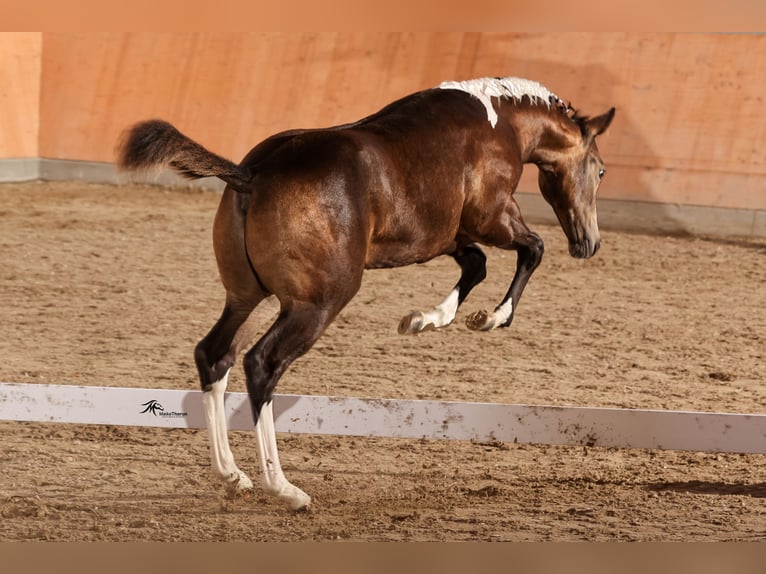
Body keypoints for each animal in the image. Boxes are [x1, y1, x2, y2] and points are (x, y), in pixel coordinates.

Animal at [115, 74, 616, 510]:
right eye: (601, 170)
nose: (588, 243)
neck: (498, 124)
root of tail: (250, 172)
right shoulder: (492, 219)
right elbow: (531, 249)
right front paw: (490, 318)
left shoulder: (441, 237)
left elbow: (475, 265)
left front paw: (422, 320)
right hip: (317, 304)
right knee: (262, 365)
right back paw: (284, 488)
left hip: (251, 298)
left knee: (214, 355)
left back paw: (232, 475)